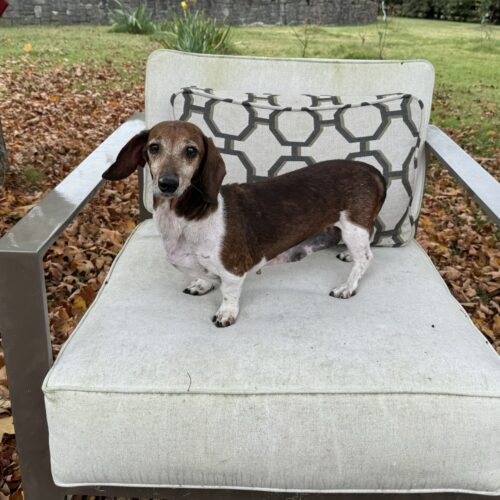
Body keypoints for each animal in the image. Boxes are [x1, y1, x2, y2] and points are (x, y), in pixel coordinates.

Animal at [103, 121, 386, 327]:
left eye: (191, 151)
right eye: (154, 147)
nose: (168, 183)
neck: (186, 218)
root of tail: (370, 170)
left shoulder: (233, 270)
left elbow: (229, 292)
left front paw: (226, 313)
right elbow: (203, 273)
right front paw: (202, 284)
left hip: (353, 227)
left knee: (366, 258)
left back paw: (348, 286)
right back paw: (347, 255)